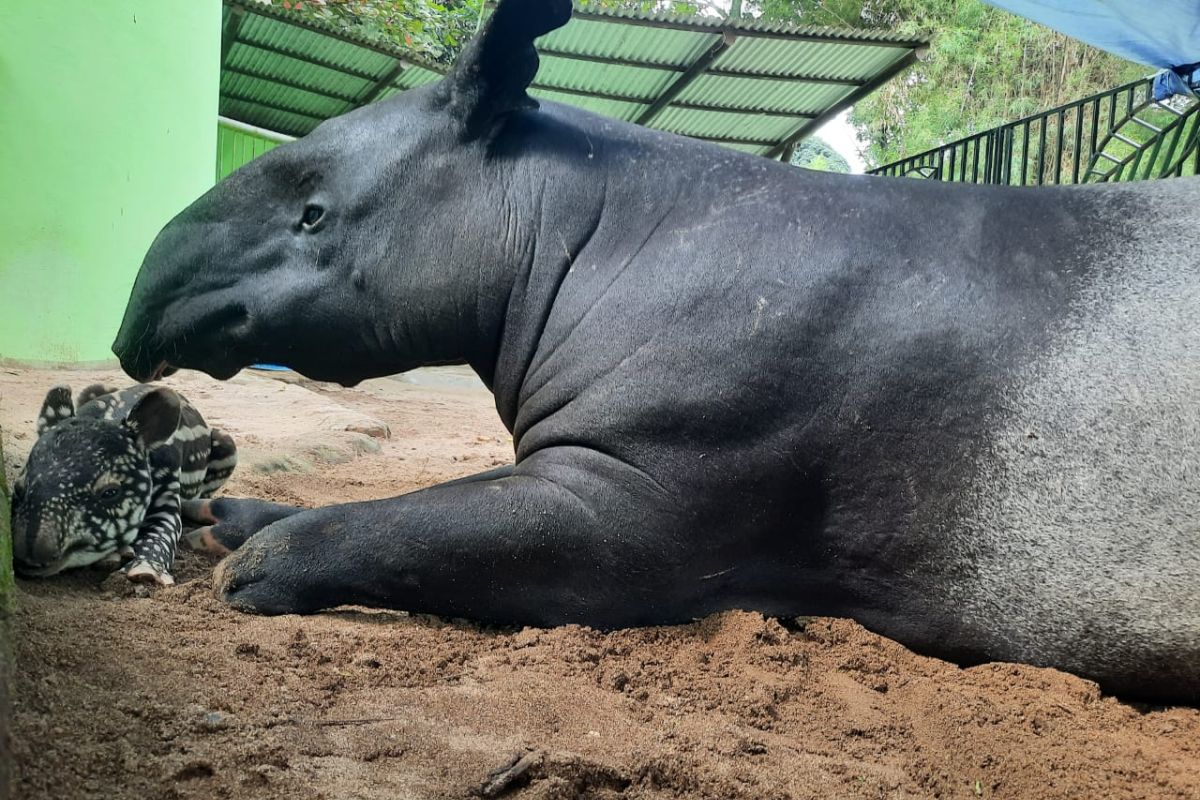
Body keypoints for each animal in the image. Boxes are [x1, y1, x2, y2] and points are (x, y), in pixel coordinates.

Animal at [9, 383, 236, 585]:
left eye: (110, 492)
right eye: (18, 489)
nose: (31, 552)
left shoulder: (167, 484)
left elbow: (164, 528)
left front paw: (144, 569)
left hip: (226, 448)